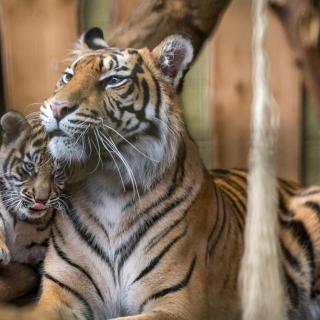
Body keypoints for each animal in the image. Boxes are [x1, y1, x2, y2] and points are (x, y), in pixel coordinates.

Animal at [7, 28, 318, 318]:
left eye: (113, 81)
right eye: (68, 77)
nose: (57, 107)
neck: (107, 181)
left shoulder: (175, 305)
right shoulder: (60, 294)